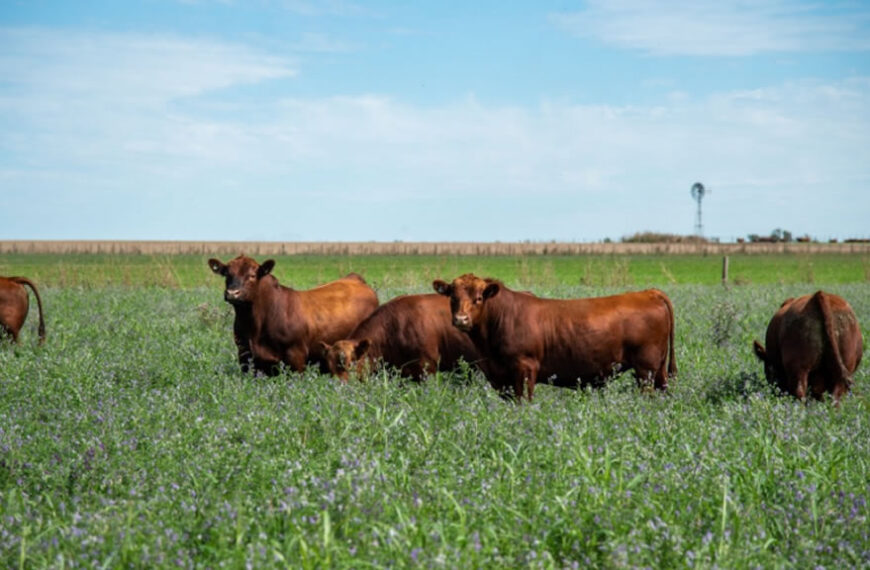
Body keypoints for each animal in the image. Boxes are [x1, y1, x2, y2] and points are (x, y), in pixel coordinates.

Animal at [209, 256, 380, 372]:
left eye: (252, 275)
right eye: (227, 274)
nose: (232, 293)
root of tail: (355, 278)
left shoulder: (296, 357)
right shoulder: (245, 355)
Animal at [432, 272, 676, 398]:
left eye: (479, 298)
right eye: (453, 297)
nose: (461, 320)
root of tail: (649, 293)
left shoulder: (525, 368)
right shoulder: (502, 378)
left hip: (646, 368)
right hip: (658, 370)